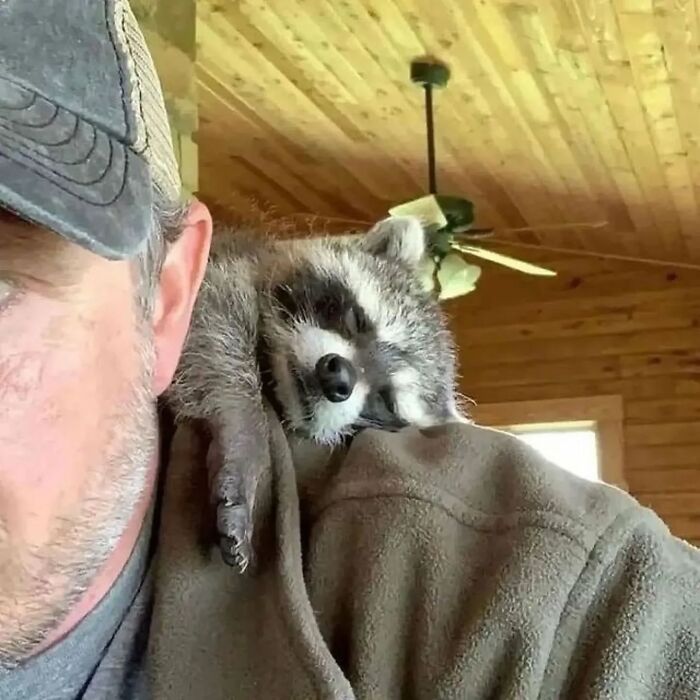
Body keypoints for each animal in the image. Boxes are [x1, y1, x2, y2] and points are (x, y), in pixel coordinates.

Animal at [165, 215, 465, 573]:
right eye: (356, 320)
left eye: (385, 399)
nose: (337, 376)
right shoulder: (225, 260)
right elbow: (212, 315)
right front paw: (242, 432)